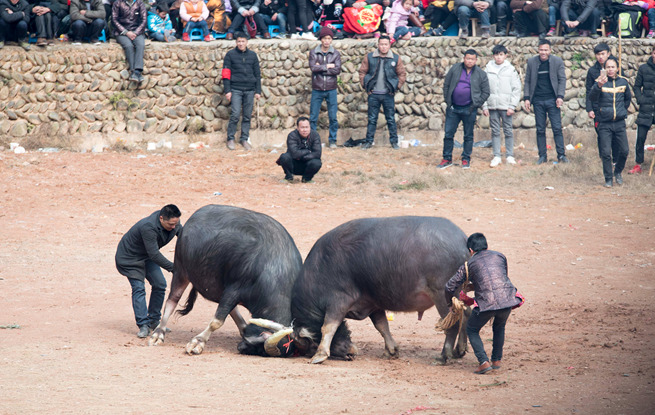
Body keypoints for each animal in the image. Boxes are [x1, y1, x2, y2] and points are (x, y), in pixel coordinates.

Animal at [149, 205, 302, 358]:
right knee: (172, 300)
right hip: (180, 270)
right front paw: (198, 342)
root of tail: (191, 220)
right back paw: (158, 333)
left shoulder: (228, 292)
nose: (240, 347)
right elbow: (217, 321)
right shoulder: (233, 290)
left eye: (261, 352)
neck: (276, 268)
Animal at [255, 216, 472, 366]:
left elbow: (328, 326)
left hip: (442, 295)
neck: (320, 268)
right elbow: (382, 326)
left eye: (310, 346)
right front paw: (391, 350)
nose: (351, 352)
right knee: (467, 314)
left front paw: (320, 355)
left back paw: (444, 356)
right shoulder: (374, 304)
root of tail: (462, 239)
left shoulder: (337, 302)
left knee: (453, 324)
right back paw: (460, 349)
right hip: (458, 294)